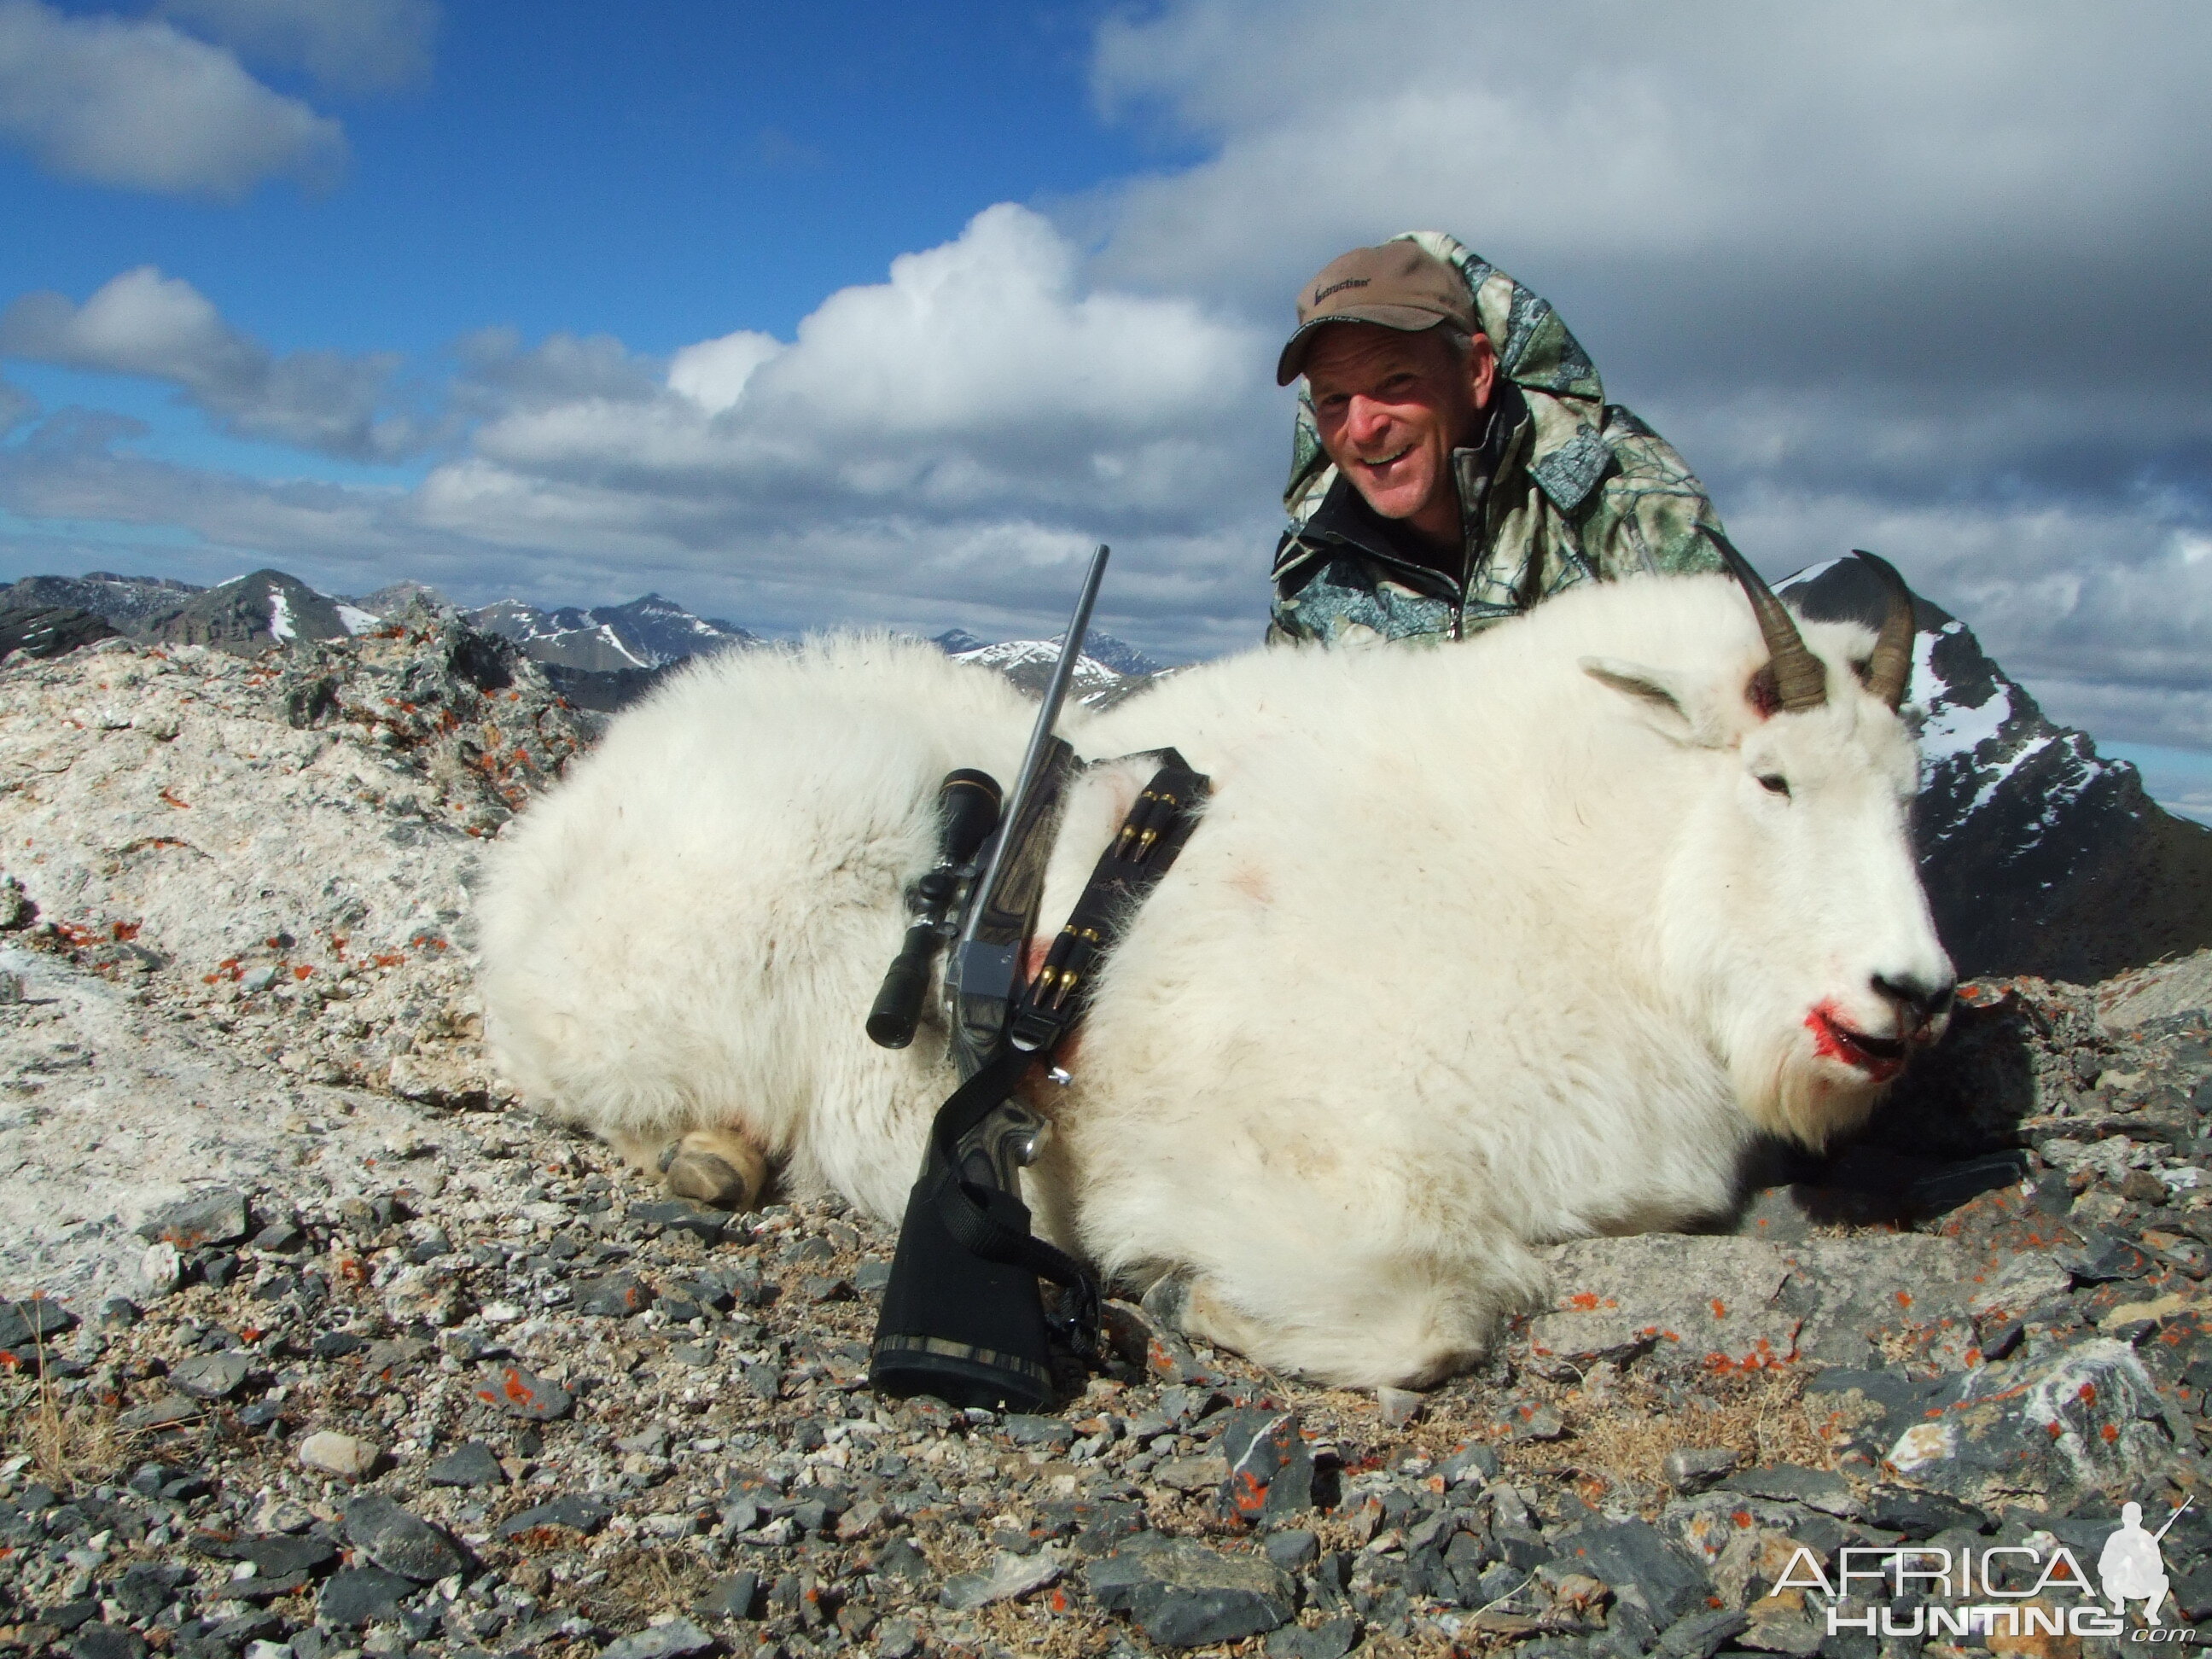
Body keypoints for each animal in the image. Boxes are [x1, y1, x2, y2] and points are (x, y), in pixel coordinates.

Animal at [480, 559, 1955, 1388]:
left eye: (1907, 789)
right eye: (1773, 780)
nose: (1911, 994)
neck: (1560, 874)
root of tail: (542, 842)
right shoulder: (1310, 1153)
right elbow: (1437, 1310)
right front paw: (1191, 1293)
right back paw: (709, 1155)